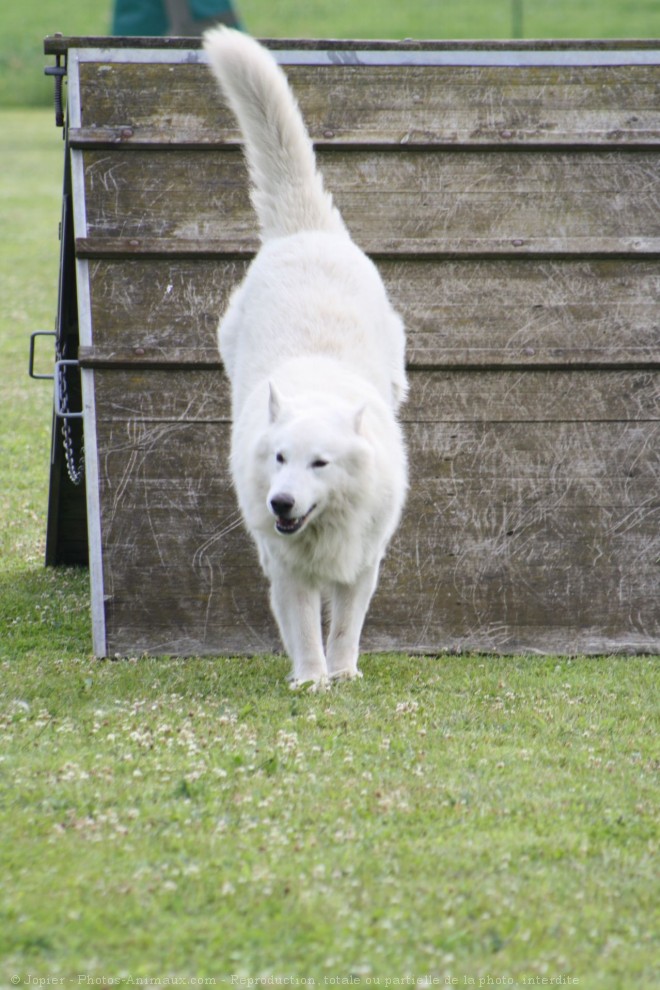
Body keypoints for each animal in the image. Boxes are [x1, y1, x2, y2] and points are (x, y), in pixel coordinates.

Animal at [204, 27, 408, 684]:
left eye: (319, 463)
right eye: (280, 459)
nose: (281, 501)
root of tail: (304, 233)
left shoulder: (363, 564)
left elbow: (345, 626)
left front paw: (342, 676)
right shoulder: (285, 567)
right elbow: (303, 629)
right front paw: (312, 682)